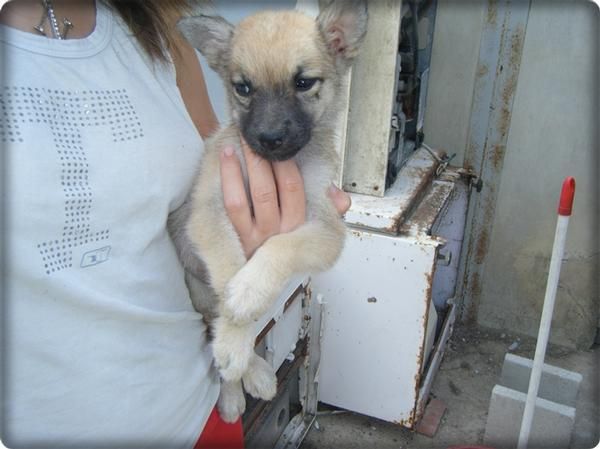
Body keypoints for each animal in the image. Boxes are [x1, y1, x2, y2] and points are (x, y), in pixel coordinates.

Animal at [173, 0, 368, 420]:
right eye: (243, 88)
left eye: (303, 83)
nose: (269, 138)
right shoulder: (209, 209)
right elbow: (228, 267)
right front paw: (235, 337)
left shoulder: (326, 228)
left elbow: (280, 246)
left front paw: (248, 291)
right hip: (197, 291)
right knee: (212, 321)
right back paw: (238, 384)